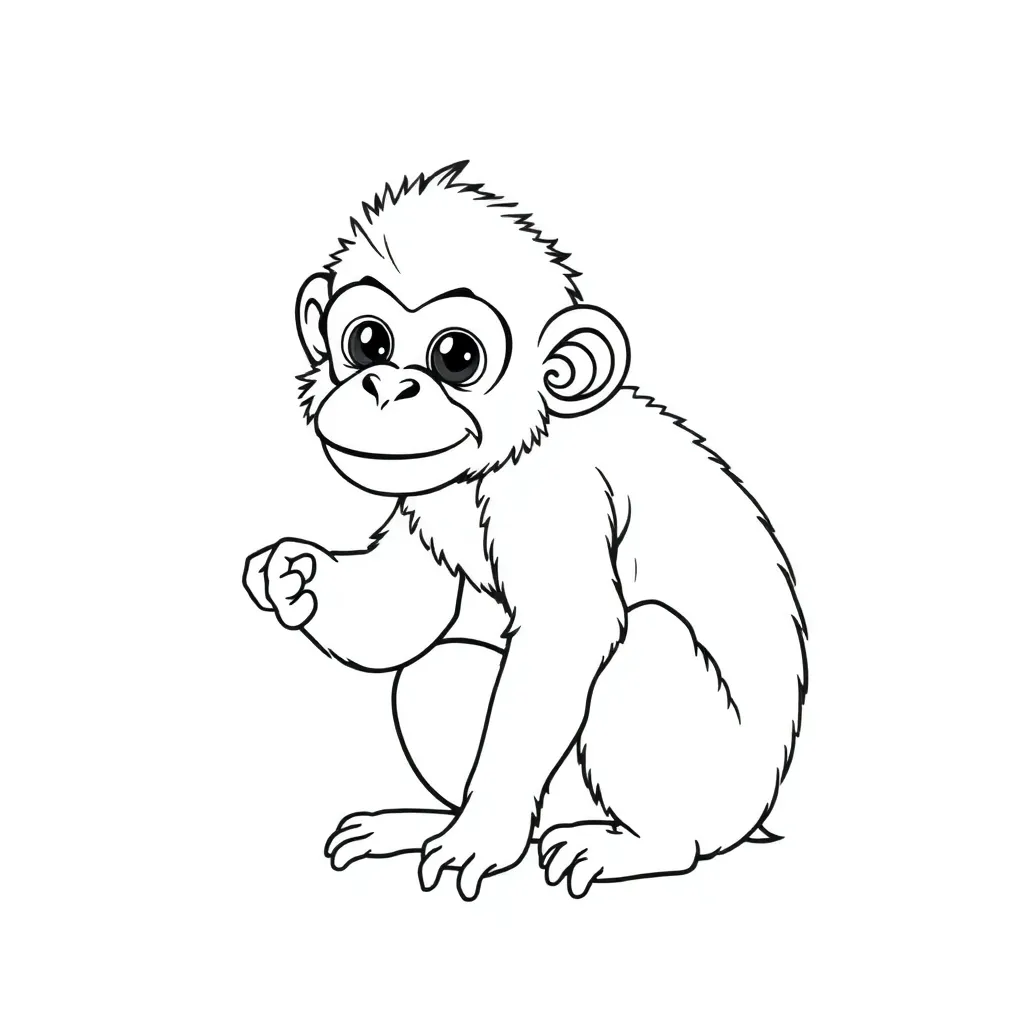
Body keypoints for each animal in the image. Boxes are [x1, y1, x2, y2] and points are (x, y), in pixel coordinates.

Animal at [243, 161, 807, 900]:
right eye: (368, 342)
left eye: (456, 357)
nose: (387, 387)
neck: (504, 454)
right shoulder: (421, 495)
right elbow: (404, 612)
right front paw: (296, 577)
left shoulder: (558, 498)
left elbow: (569, 632)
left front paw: (479, 838)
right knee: (432, 674)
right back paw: (430, 822)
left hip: (710, 781)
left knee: (648, 641)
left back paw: (639, 845)